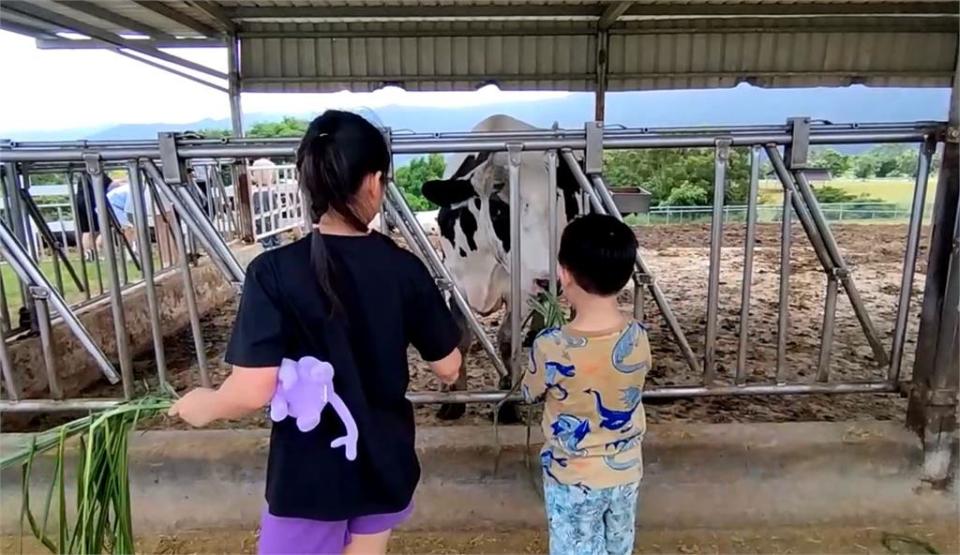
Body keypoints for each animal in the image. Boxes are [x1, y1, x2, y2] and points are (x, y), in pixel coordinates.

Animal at [422, 117, 584, 422]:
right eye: (498, 208)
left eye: (554, 203)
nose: (547, 279)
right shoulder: (453, 283)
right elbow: (462, 338)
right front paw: (454, 401)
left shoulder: (519, 290)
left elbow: (508, 341)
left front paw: (508, 402)